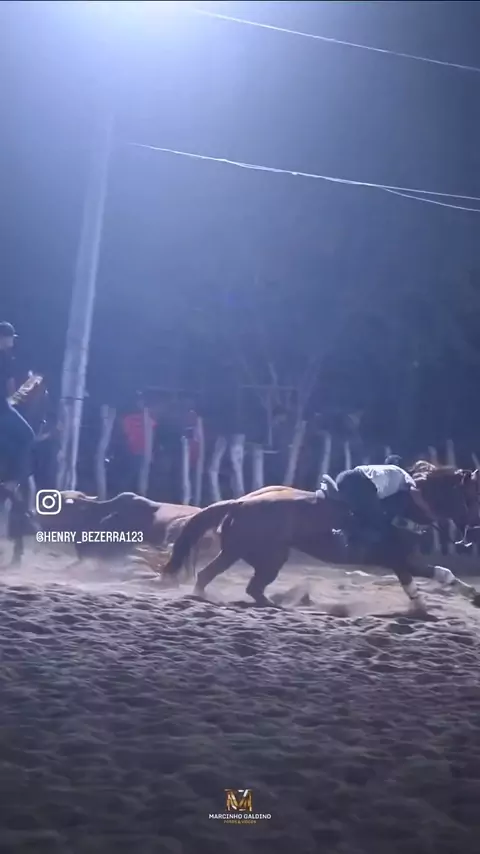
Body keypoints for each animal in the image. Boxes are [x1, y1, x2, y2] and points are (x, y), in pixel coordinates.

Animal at [160, 464, 480, 613]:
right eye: (471, 496)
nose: (472, 531)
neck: (405, 503)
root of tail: (239, 503)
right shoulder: (396, 558)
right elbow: (431, 577)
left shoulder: (401, 559)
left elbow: (431, 577)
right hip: (268, 558)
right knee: (250, 586)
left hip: (236, 553)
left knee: (210, 576)